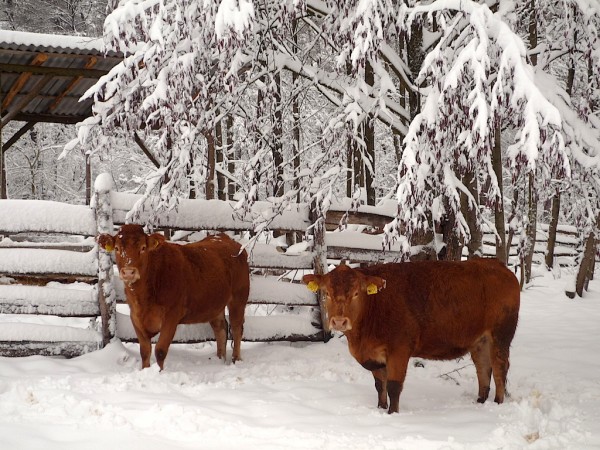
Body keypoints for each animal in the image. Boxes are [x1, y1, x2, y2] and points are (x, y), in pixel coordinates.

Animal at [98, 224, 248, 370]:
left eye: (143, 248)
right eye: (117, 248)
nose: (129, 272)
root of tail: (226, 238)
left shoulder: (172, 316)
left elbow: (160, 350)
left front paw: (159, 372)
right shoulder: (135, 317)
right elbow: (145, 351)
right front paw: (145, 370)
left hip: (239, 298)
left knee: (236, 328)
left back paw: (236, 359)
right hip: (215, 305)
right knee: (221, 329)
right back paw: (219, 359)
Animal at [304, 258, 520, 414]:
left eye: (357, 293)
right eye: (326, 293)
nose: (339, 321)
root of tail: (499, 265)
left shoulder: (399, 350)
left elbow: (393, 386)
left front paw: (392, 414)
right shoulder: (375, 356)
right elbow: (379, 385)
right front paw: (380, 408)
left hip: (501, 335)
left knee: (500, 368)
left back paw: (497, 403)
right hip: (479, 341)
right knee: (483, 368)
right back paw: (480, 402)